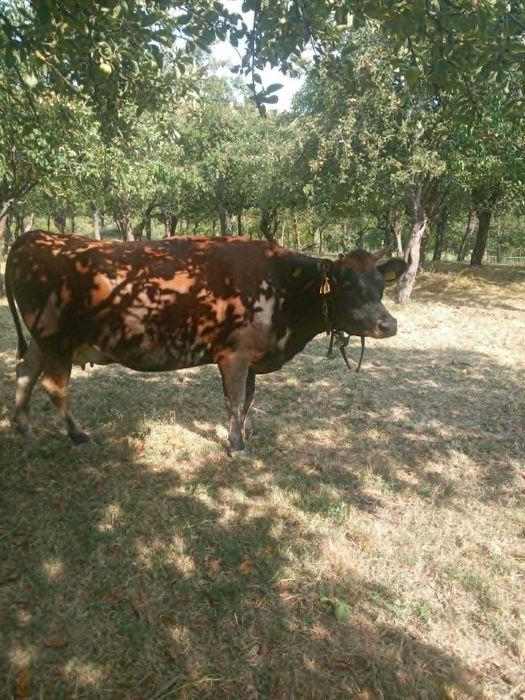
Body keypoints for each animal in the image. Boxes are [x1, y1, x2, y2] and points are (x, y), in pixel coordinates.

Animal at [5, 231, 406, 453]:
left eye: (380, 283)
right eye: (348, 284)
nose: (388, 324)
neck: (280, 287)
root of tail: (34, 236)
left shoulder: (252, 357)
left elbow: (249, 400)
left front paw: (247, 433)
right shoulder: (234, 354)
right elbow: (235, 400)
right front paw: (237, 446)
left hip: (42, 341)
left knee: (24, 371)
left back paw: (23, 427)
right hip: (56, 339)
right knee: (55, 387)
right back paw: (77, 434)